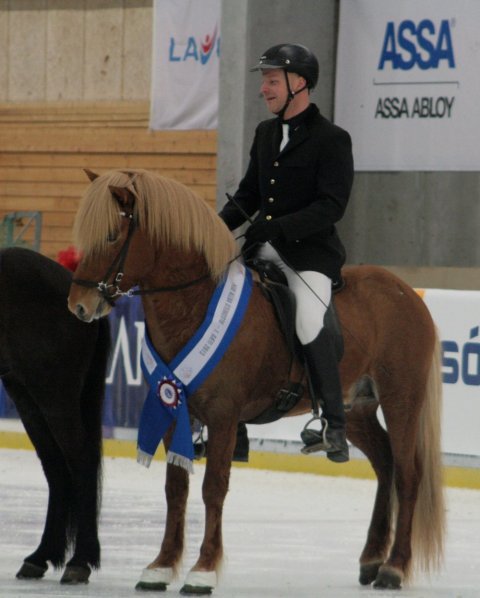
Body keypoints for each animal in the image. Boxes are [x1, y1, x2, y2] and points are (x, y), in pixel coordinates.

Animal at [0, 247, 109, 584]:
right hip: (27, 398)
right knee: (56, 468)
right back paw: (41, 556)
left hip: (54, 396)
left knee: (80, 462)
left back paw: (80, 560)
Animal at [68, 169, 446, 596]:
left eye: (111, 236)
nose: (79, 306)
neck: (194, 304)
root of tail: (405, 292)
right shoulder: (171, 408)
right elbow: (176, 489)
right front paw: (161, 567)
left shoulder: (223, 417)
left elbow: (213, 487)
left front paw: (203, 570)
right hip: (357, 409)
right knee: (384, 465)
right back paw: (371, 559)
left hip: (401, 400)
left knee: (408, 474)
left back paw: (393, 568)